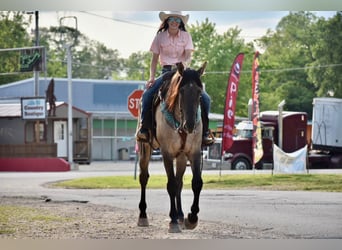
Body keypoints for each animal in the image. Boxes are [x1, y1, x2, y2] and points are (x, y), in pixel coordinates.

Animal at [138, 62, 207, 232]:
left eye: (199, 91)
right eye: (181, 90)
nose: (190, 125)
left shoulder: (194, 152)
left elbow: (196, 183)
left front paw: (191, 218)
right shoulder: (167, 153)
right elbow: (170, 185)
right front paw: (173, 221)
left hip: (181, 156)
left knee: (179, 183)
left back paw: (181, 215)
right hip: (144, 149)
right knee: (144, 178)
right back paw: (143, 216)